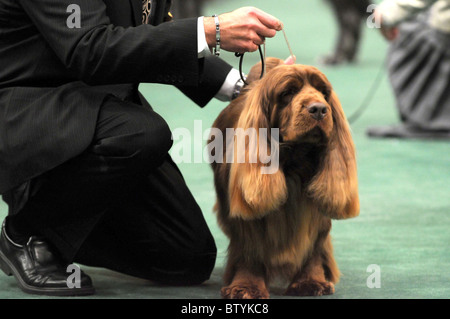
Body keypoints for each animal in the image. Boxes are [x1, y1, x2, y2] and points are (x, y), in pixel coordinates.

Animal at [209, 58, 360, 300]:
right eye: (288, 92)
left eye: (324, 92)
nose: (319, 109)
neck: (293, 160)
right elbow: (250, 248)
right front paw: (246, 286)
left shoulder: (314, 209)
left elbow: (314, 246)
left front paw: (310, 281)